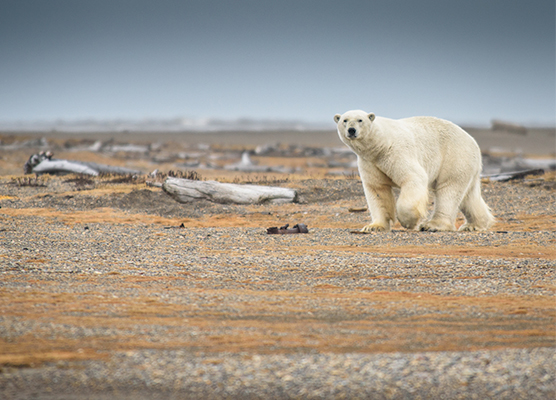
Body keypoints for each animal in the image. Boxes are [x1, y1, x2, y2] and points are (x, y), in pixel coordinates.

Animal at [334, 111, 496, 233]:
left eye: (360, 120)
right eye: (344, 120)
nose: (351, 130)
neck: (379, 145)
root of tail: (474, 142)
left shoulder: (396, 152)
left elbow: (413, 177)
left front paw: (408, 222)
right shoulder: (370, 162)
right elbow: (377, 190)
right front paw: (374, 227)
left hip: (455, 157)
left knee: (449, 189)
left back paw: (433, 225)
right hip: (466, 164)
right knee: (468, 196)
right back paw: (474, 225)